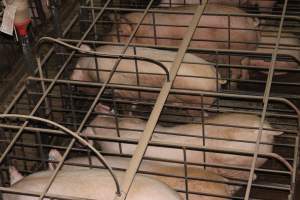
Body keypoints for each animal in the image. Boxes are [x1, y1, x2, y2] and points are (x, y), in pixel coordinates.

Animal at [106, 4, 262, 83]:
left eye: (119, 33)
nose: (106, 43)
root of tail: (250, 21)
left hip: (233, 51)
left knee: (236, 69)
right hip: (246, 50)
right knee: (246, 63)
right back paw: (245, 79)